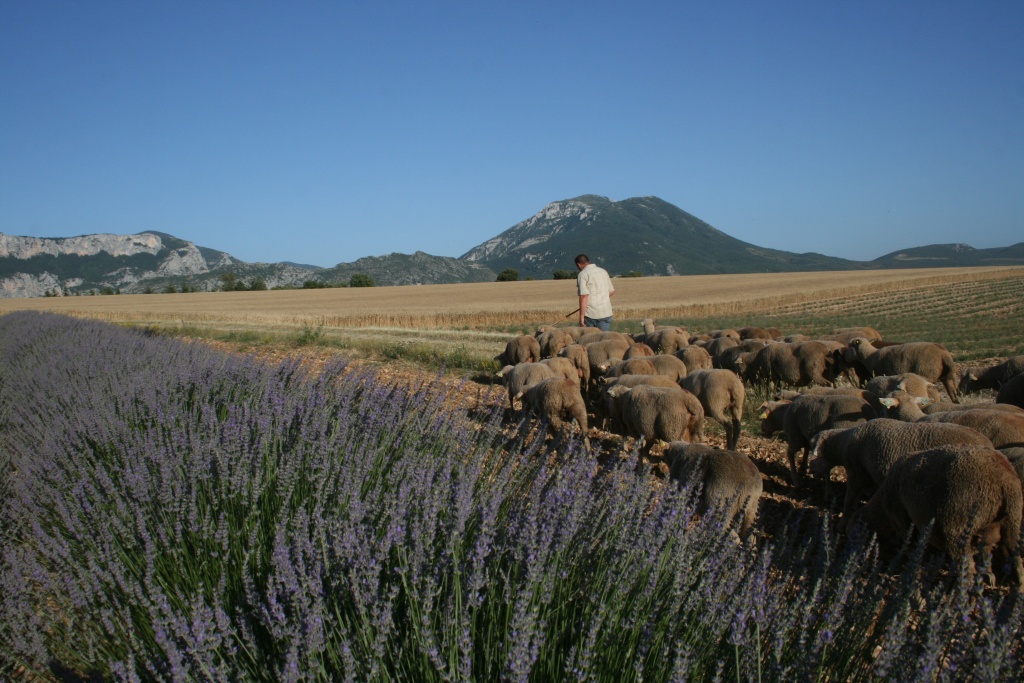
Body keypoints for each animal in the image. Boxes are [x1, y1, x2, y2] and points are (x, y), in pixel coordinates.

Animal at [806, 417, 991, 528]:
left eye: (814, 448)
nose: (810, 470)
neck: (845, 444)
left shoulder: (856, 471)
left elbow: (849, 499)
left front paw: (842, 523)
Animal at [847, 446, 1024, 589]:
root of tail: (1006, 482)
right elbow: (985, 553)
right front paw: (988, 575)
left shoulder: (901, 519)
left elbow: (910, 544)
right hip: (1013, 523)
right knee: (1015, 559)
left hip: (956, 526)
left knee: (966, 566)